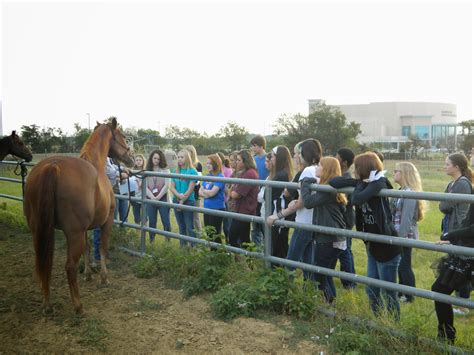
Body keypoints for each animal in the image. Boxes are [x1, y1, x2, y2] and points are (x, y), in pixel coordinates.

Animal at [23, 118, 133, 316]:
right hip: (73, 234)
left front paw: (88, 274)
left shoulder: (85, 228)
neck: (96, 165)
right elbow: (102, 248)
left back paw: (47, 304)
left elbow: (88, 248)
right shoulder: (106, 221)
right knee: (69, 266)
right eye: (121, 135)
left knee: (43, 263)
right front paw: (104, 278)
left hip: (39, 230)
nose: (131, 158)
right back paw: (78, 306)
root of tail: (52, 166)